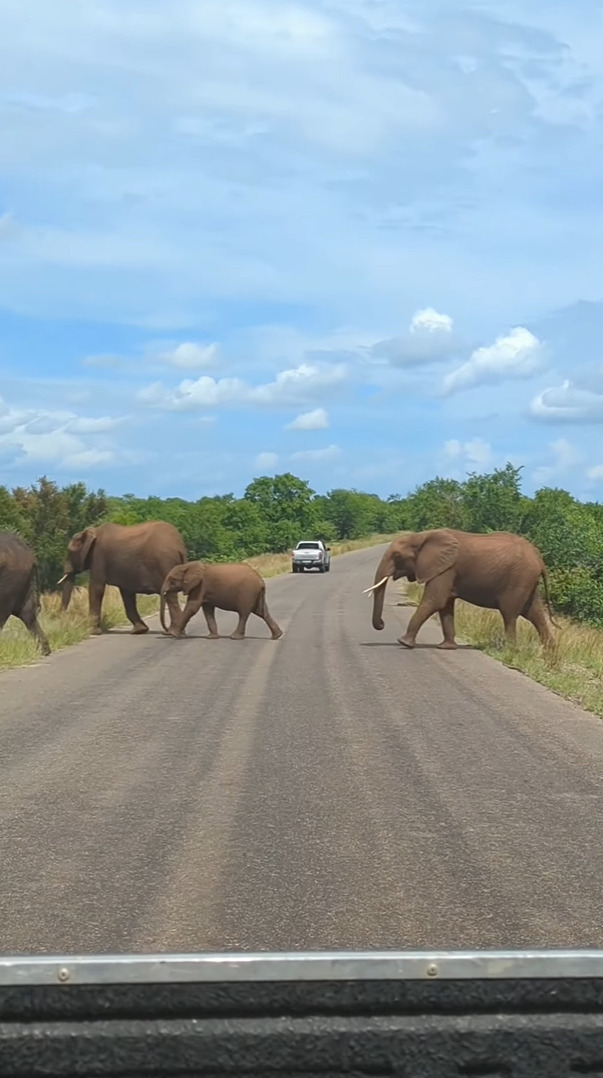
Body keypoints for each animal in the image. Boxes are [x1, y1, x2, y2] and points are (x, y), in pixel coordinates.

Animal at [362, 523, 556, 642]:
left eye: (397, 556)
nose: (382, 624)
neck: (421, 536)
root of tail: (539, 559)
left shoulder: (446, 569)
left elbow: (435, 600)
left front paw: (403, 642)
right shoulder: (446, 571)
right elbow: (445, 605)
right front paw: (446, 646)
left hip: (519, 579)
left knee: (510, 614)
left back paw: (512, 651)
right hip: (528, 581)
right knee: (535, 614)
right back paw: (549, 658)